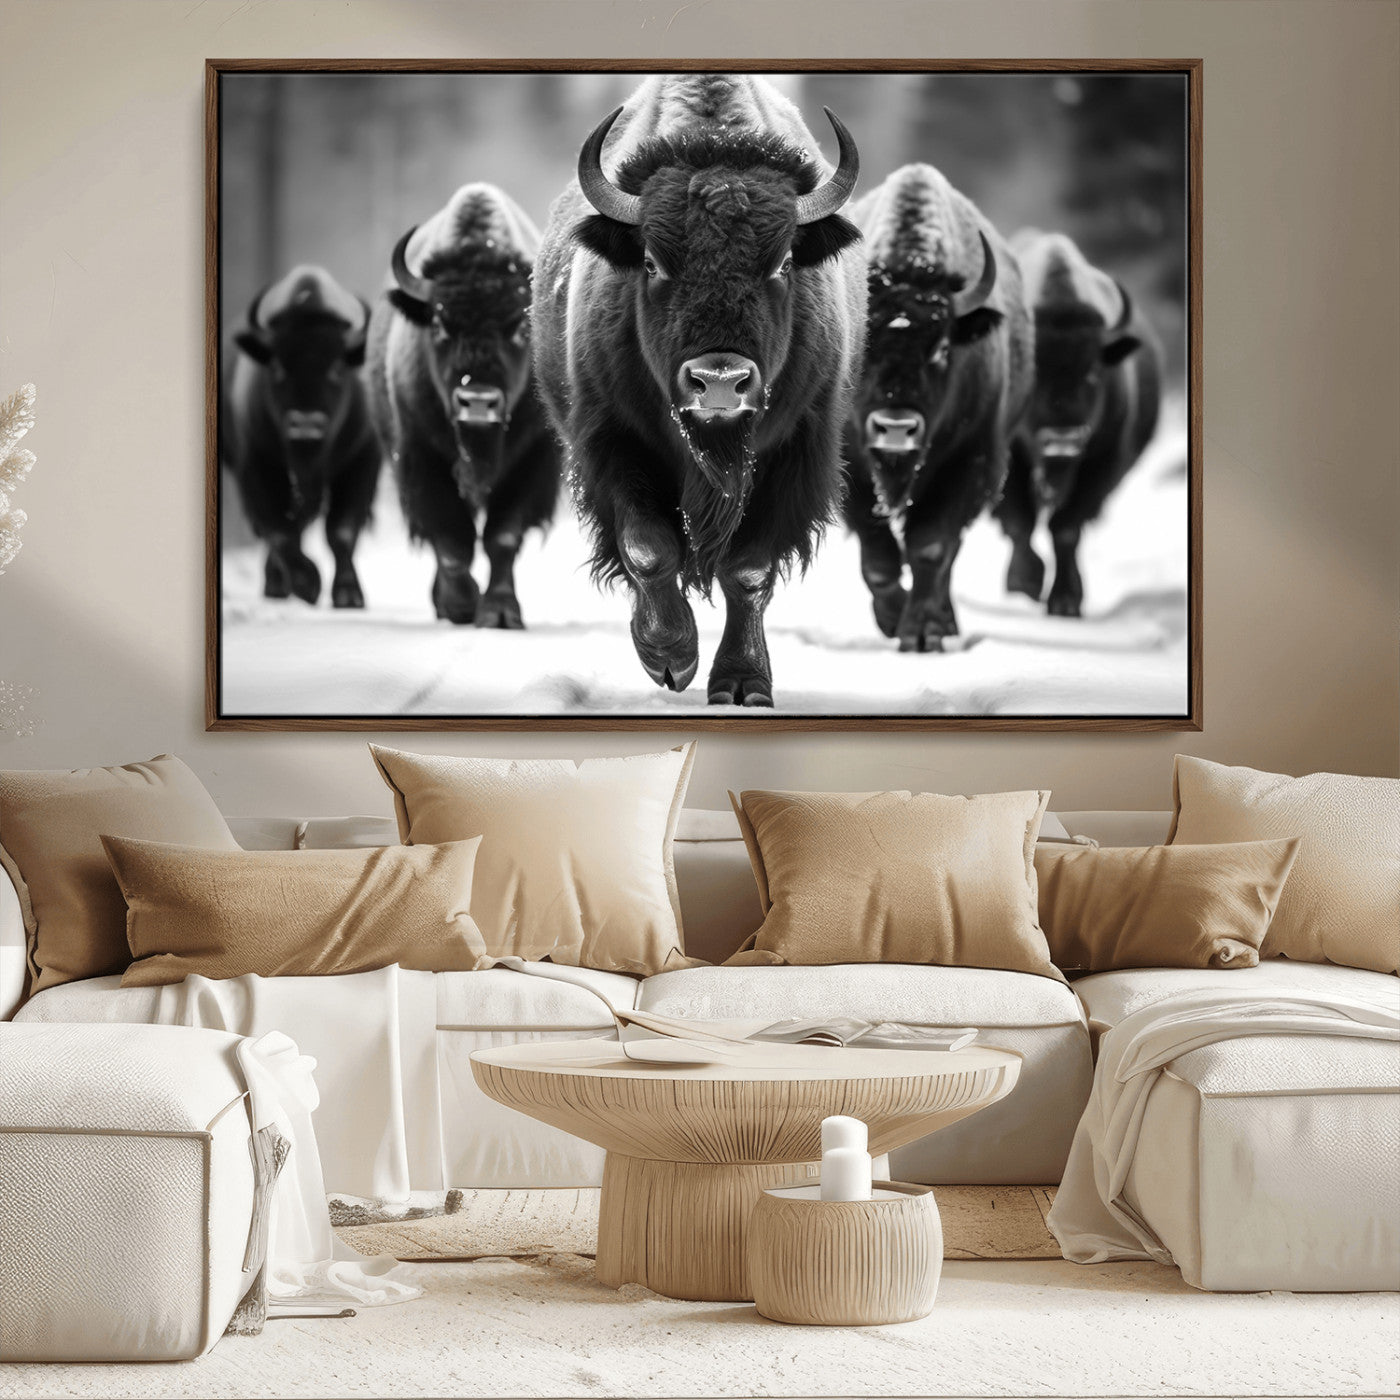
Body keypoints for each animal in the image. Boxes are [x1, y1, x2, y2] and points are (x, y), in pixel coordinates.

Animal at [223, 266, 377, 607]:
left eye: (337, 368)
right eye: (277, 367)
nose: (305, 425)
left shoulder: (361, 461)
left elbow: (341, 531)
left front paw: (348, 595)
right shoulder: (257, 466)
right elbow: (280, 531)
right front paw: (307, 583)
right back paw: (278, 585)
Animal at [366, 183, 559, 627]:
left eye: (520, 327)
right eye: (439, 324)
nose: (478, 401)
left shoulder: (533, 461)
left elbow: (502, 536)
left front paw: (500, 612)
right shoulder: (421, 458)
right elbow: (452, 539)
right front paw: (460, 605)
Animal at [532, 74, 867, 706]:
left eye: (785, 262)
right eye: (650, 261)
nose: (719, 382)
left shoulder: (795, 451)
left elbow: (748, 570)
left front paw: (743, 683)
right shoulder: (613, 441)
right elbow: (647, 546)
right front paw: (670, 657)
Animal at [841, 164, 1033, 650]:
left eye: (943, 348)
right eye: (864, 343)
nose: (895, 428)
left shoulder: (968, 462)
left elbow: (930, 547)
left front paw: (923, 633)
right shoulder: (852, 470)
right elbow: (879, 559)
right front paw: (893, 619)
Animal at [994, 230, 1161, 616]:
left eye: (1093, 372)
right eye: (1034, 374)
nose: (1062, 439)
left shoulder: (1099, 466)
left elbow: (1065, 529)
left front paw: (1066, 600)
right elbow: (1020, 521)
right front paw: (1024, 583)